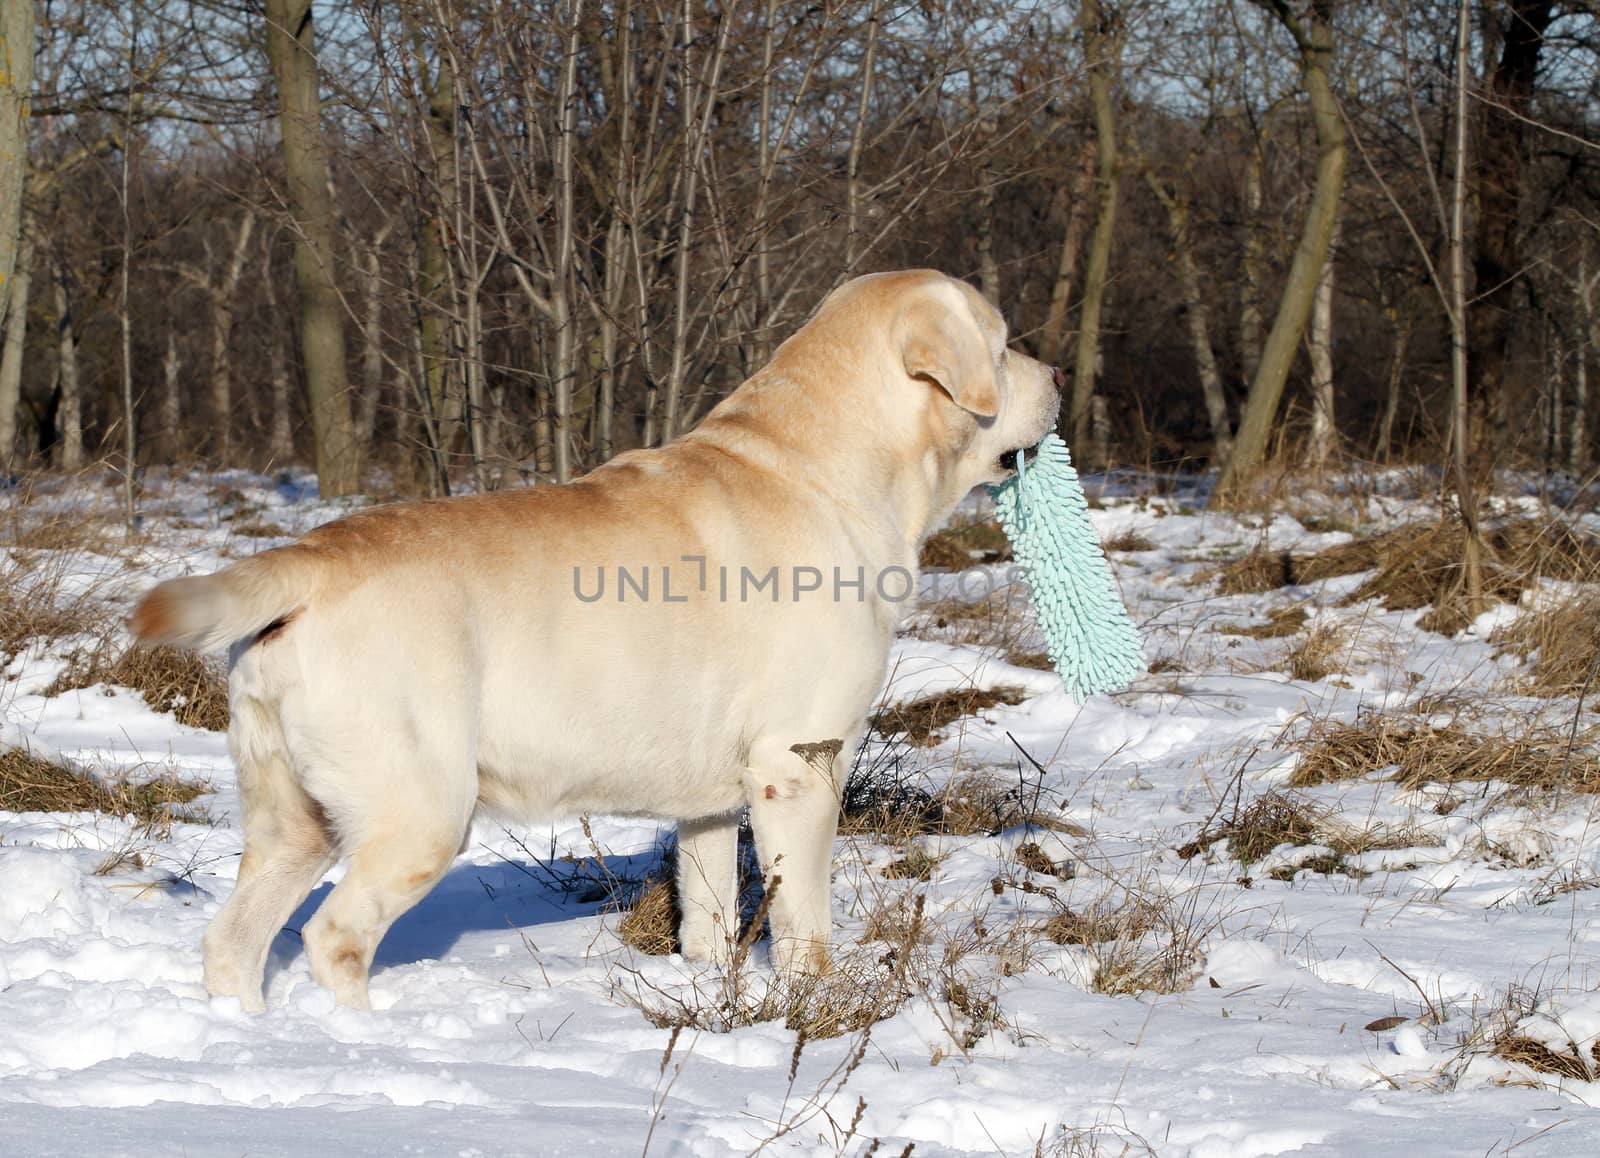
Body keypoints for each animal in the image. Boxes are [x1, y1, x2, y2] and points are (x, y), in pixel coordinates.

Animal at [134, 267, 1062, 1010]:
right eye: (1003, 342)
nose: (1057, 374)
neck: (829, 468)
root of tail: (310, 558)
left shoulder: (712, 801)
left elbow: (709, 915)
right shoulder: (799, 766)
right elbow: (805, 922)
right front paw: (816, 1005)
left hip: (292, 815)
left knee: (233, 940)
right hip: (419, 811)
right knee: (335, 938)